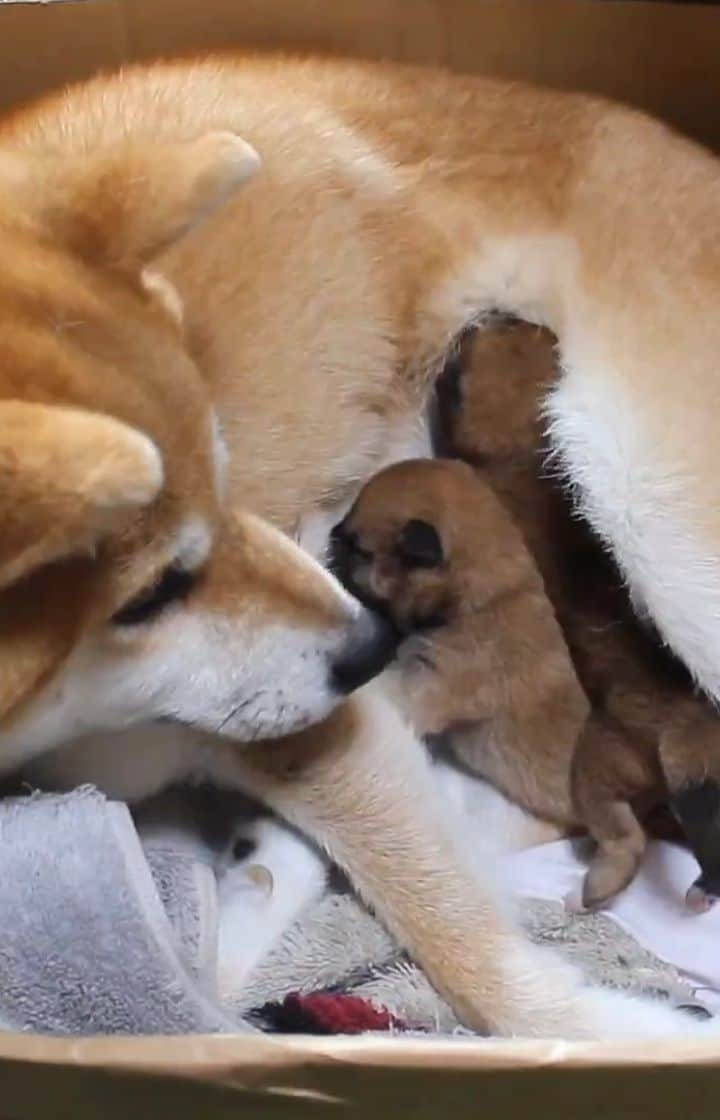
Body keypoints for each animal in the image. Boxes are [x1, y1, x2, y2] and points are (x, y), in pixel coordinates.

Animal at [1, 54, 720, 1039]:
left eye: (226, 473)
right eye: (150, 593)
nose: (373, 647)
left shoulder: (334, 734)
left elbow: (472, 955)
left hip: (662, 524)